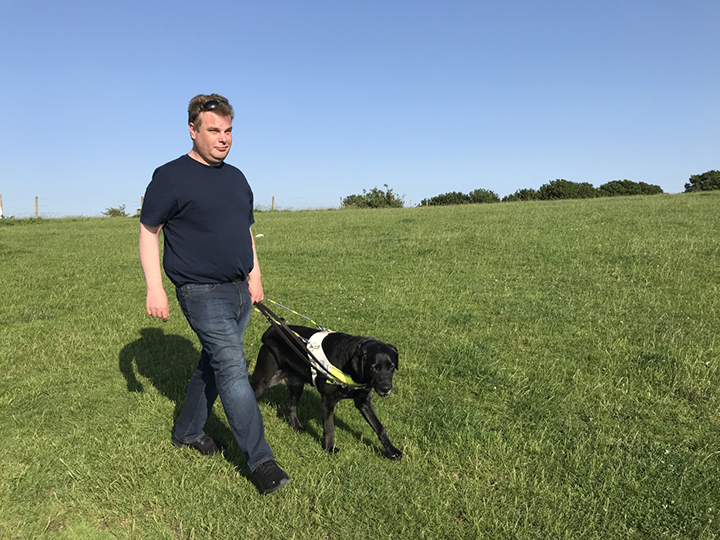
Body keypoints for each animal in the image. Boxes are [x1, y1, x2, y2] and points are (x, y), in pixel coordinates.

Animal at [253, 324, 402, 460]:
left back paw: (297, 426)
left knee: (290, 405)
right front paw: (330, 448)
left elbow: (379, 427)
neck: (350, 361)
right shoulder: (328, 400)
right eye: (374, 367)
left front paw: (392, 450)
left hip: (296, 385)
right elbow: (329, 427)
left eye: (392, 367)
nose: (386, 388)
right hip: (264, 381)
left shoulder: (363, 402)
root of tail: (272, 330)